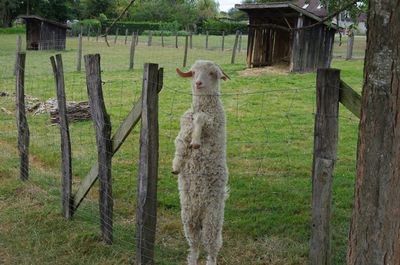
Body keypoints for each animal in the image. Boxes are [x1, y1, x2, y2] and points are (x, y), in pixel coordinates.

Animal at [171, 59, 228, 264]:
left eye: (212, 73)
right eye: (194, 72)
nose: (198, 83)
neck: (204, 106)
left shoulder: (215, 123)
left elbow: (201, 120)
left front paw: (196, 142)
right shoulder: (184, 125)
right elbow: (180, 142)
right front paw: (176, 166)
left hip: (213, 217)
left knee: (212, 247)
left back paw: (210, 260)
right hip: (188, 218)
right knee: (195, 244)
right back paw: (192, 259)